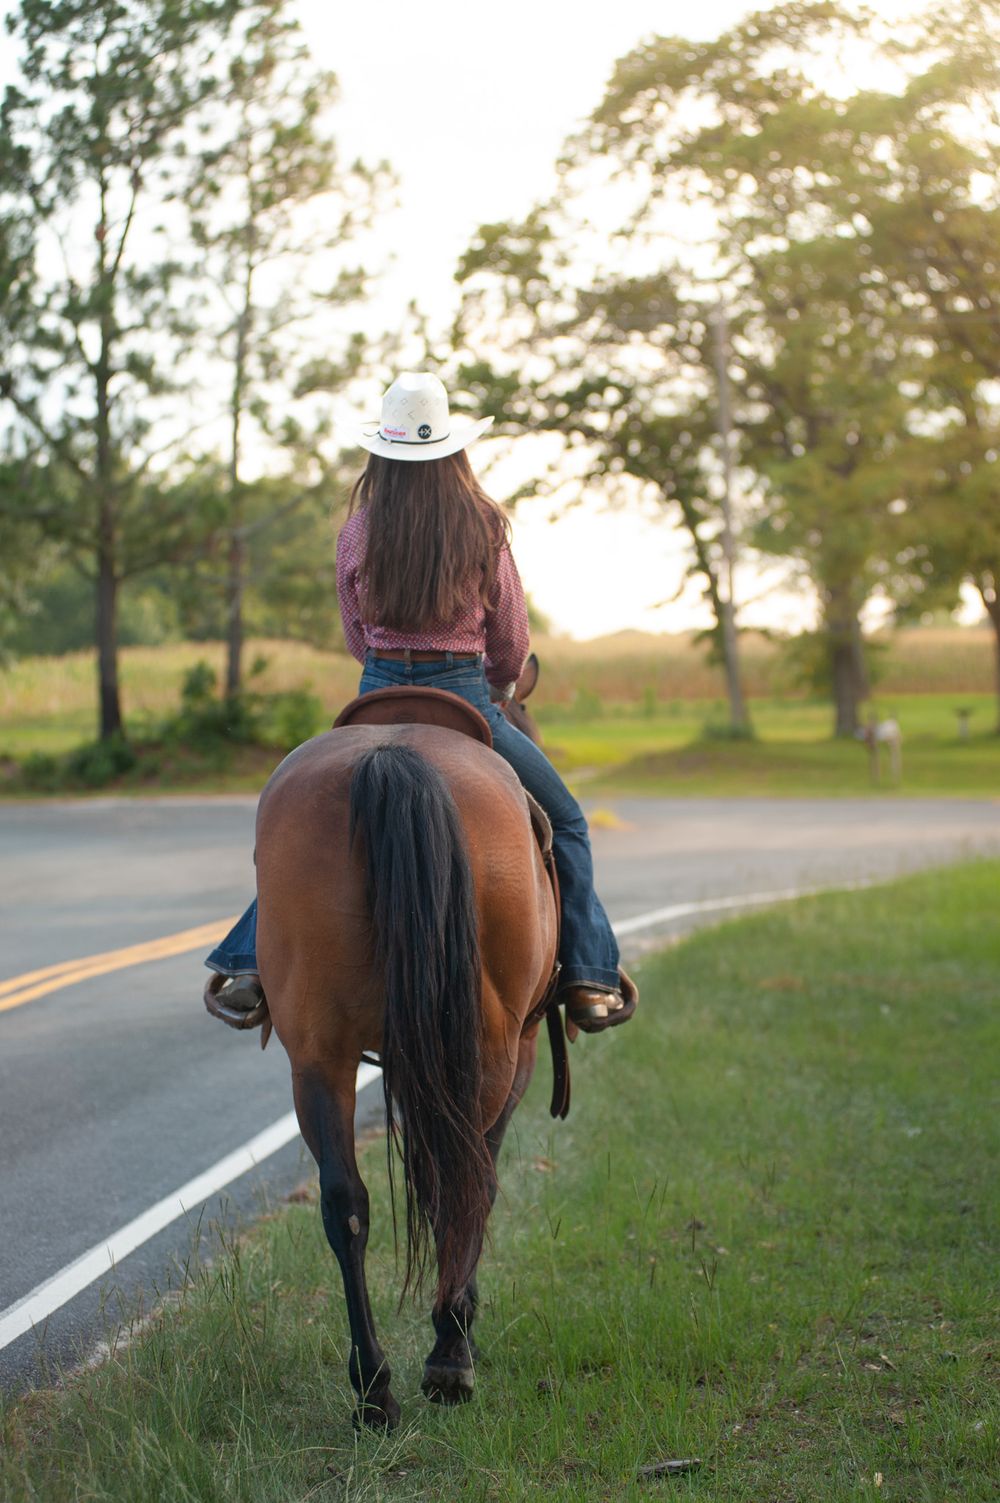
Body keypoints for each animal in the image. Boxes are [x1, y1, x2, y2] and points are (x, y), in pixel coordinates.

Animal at [253, 692, 559, 1430]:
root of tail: (390, 756)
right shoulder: (520, 1052)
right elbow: (476, 1179)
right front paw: (459, 1330)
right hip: (490, 1049)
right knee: (466, 1182)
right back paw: (449, 1359)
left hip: (318, 1056)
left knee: (346, 1204)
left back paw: (374, 1390)